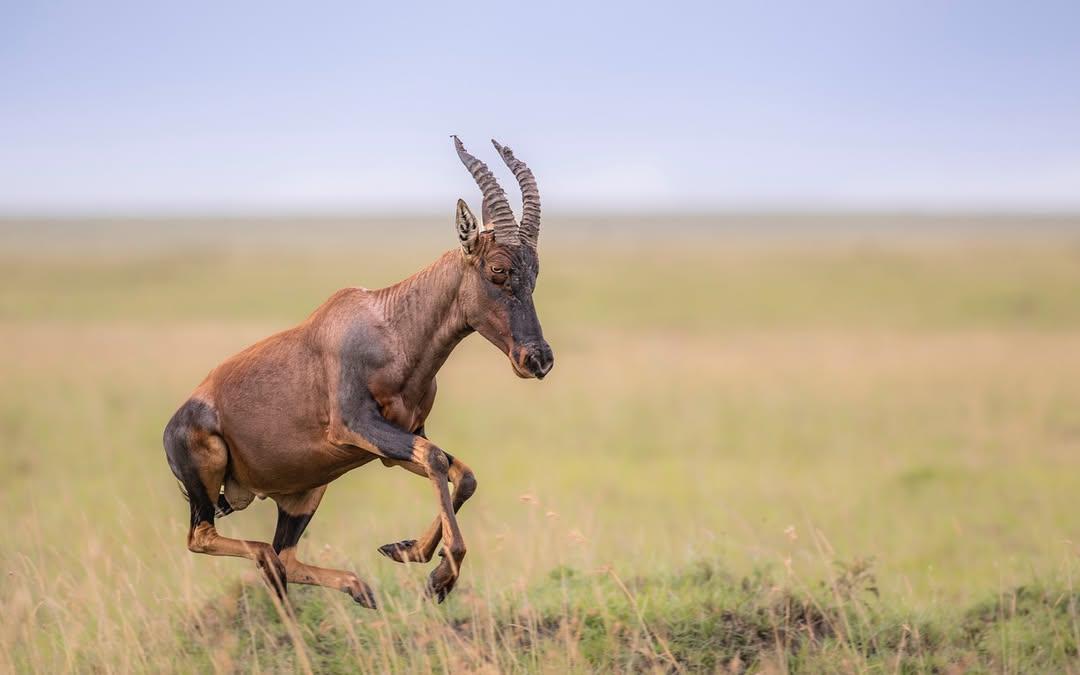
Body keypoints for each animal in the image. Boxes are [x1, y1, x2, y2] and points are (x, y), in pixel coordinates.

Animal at [163, 137, 553, 607]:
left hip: (306, 489)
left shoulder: (399, 439)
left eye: (535, 271)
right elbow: (437, 460)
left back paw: (359, 588)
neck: (389, 326)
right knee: (208, 539)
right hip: (212, 483)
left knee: (286, 554)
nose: (538, 359)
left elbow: (459, 473)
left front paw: (407, 551)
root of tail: (173, 425)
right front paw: (441, 577)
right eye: (497, 269)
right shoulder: (355, 426)